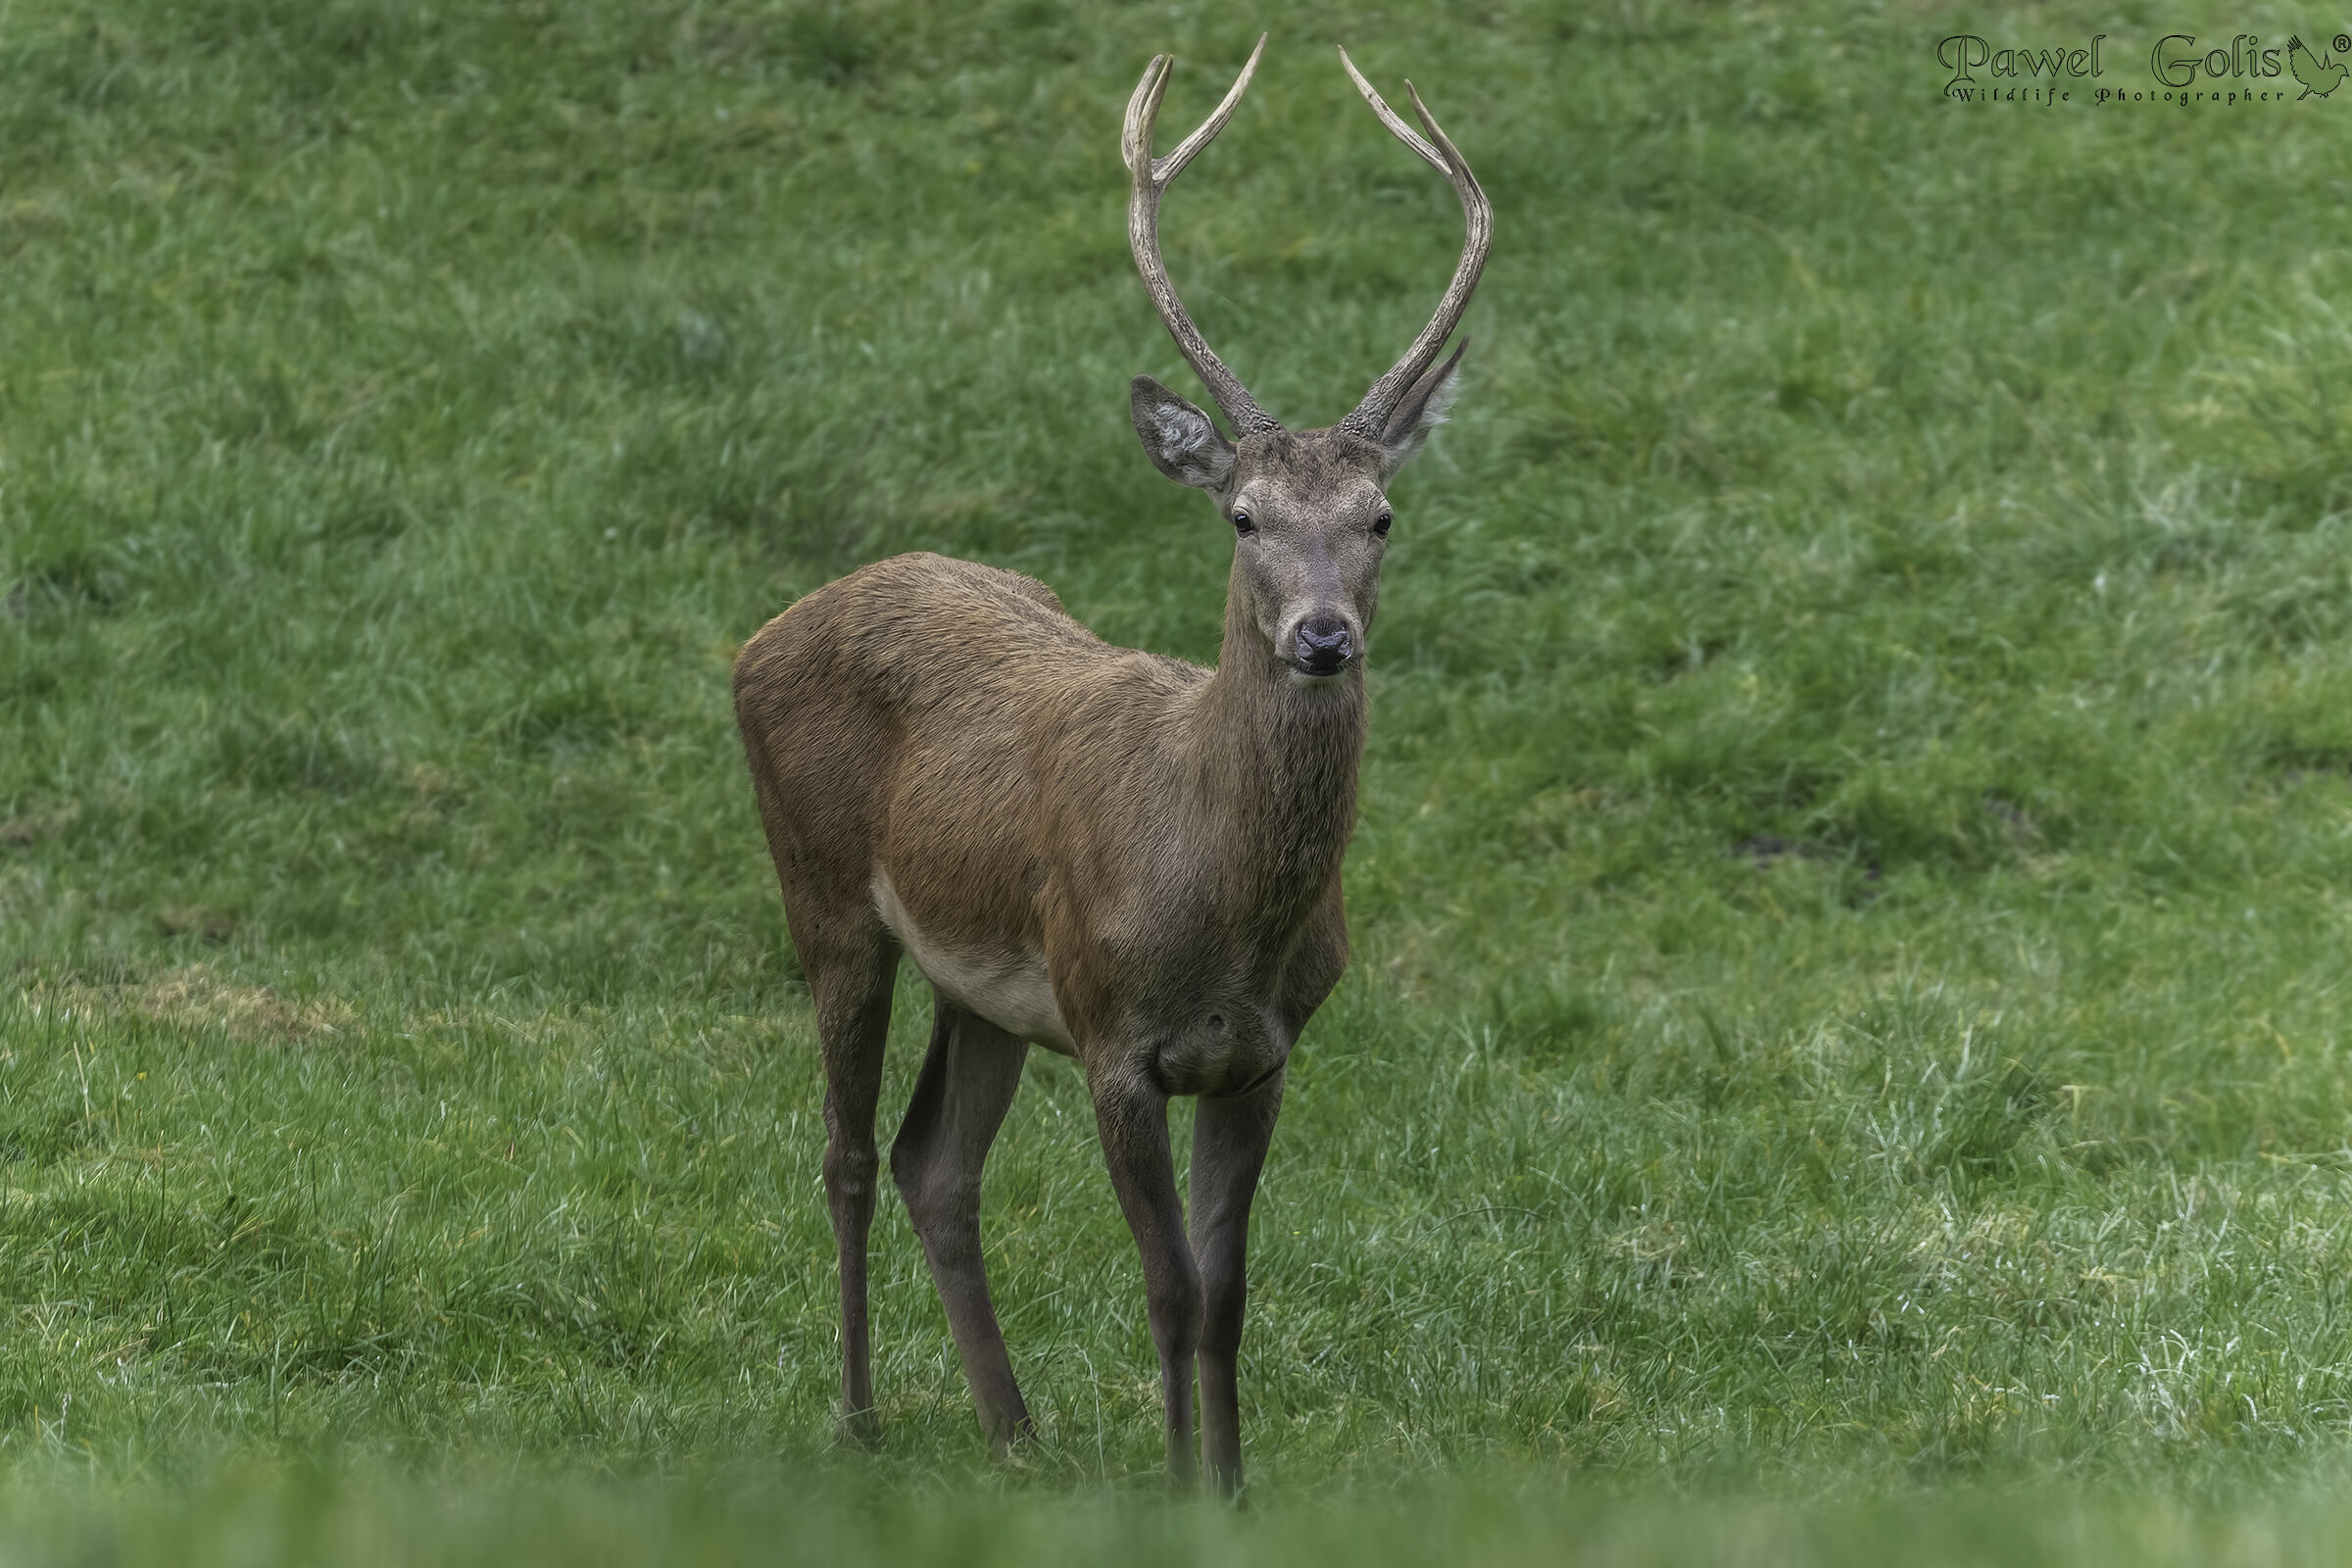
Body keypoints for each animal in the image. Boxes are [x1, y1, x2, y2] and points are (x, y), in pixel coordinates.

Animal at [731, 35, 1489, 1495]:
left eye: (1380, 515)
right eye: (1243, 514)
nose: (1323, 637)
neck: (1222, 909)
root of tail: (762, 632)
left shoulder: (1262, 1053)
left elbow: (1230, 1290)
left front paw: (1233, 1490)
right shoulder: (1111, 1036)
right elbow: (1169, 1287)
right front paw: (1182, 1486)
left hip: (982, 990)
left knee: (932, 1162)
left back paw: (1015, 1432)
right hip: (826, 893)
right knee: (846, 1152)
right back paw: (859, 1416)